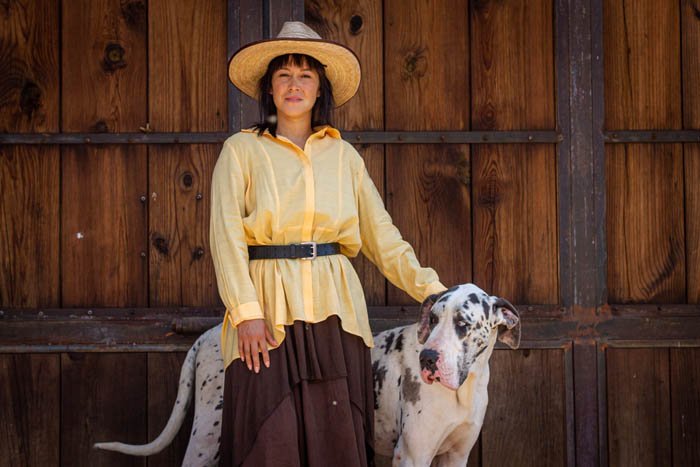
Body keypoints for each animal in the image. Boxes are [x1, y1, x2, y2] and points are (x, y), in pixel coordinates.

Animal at [372, 284, 520, 466]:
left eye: (462, 323)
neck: (464, 388)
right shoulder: (412, 457)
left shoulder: (457, 456)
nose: (427, 358)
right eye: (432, 320)